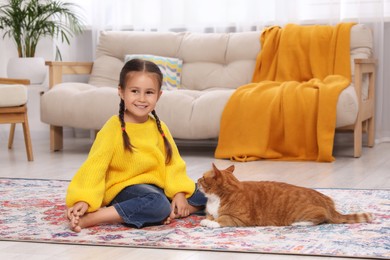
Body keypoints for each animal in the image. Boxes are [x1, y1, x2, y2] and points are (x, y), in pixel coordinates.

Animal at [198, 165, 372, 228]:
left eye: (203, 177)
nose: (197, 180)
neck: (214, 199)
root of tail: (329, 205)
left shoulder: (240, 219)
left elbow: (222, 219)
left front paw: (209, 223)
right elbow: (210, 216)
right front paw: (208, 219)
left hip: (309, 213)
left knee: (320, 219)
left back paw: (299, 223)